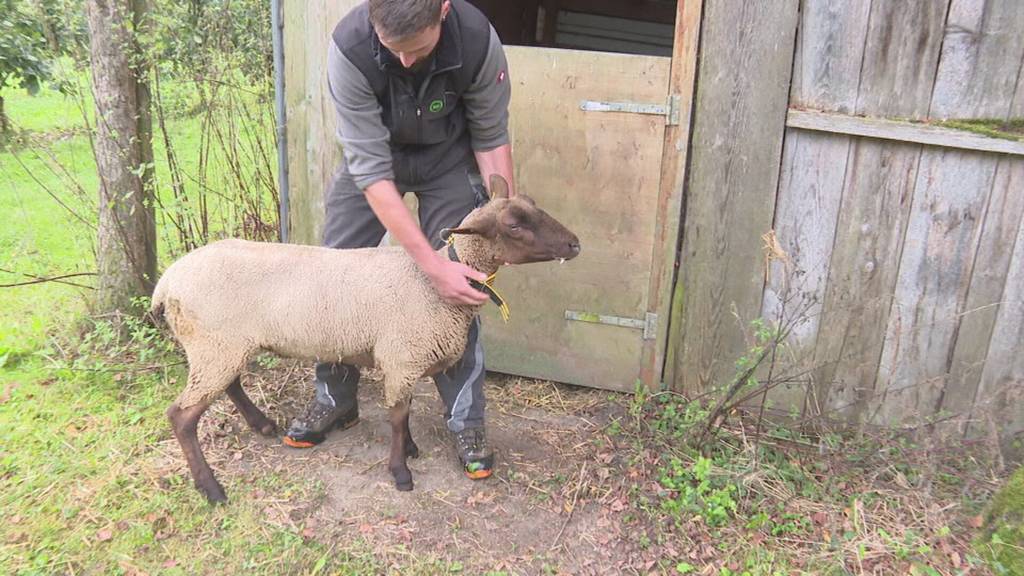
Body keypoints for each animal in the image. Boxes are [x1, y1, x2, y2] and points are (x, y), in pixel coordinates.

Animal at [152, 176, 585, 502]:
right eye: (514, 224)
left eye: (533, 205)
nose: (575, 243)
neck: (433, 283)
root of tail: (167, 281)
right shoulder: (401, 357)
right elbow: (397, 416)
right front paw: (401, 472)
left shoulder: (404, 360)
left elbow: (404, 413)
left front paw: (410, 450)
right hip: (214, 344)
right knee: (181, 416)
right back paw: (211, 488)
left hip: (222, 345)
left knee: (231, 384)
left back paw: (261, 425)